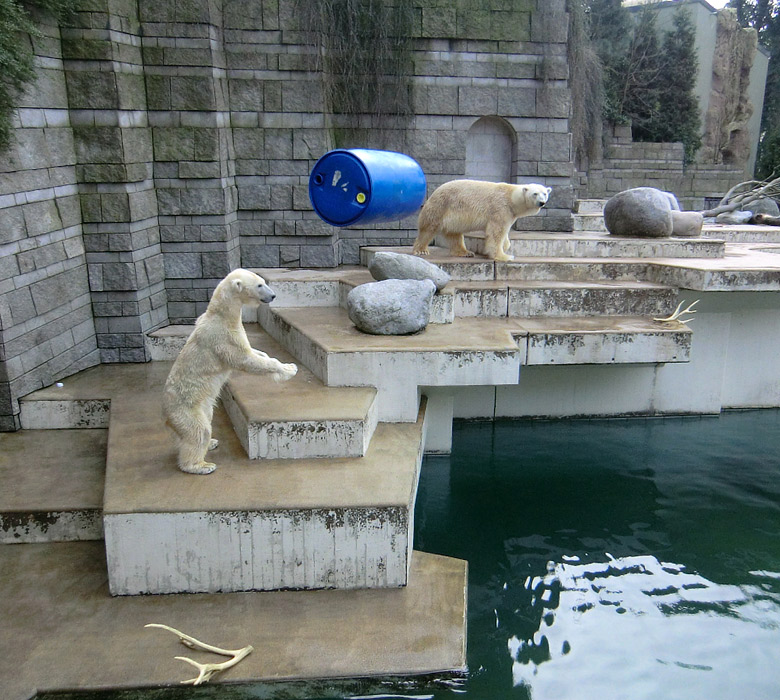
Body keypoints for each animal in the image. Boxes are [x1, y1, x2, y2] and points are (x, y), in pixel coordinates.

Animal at [163, 268, 298, 476]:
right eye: (260, 284)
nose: (273, 295)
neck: (220, 315)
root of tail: (166, 414)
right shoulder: (223, 338)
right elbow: (246, 360)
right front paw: (289, 368)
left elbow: (253, 352)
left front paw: (266, 354)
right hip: (185, 409)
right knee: (199, 431)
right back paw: (202, 465)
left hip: (203, 405)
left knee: (201, 425)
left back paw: (211, 443)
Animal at [412, 179, 552, 262]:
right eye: (535, 193)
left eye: (545, 193)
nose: (542, 202)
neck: (512, 198)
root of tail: (434, 192)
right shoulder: (500, 208)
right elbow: (496, 232)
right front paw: (505, 256)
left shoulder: (510, 214)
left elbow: (504, 232)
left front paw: (506, 246)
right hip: (441, 206)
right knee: (428, 228)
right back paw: (421, 250)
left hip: (452, 217)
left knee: (454, 234)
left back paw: (465, 252)